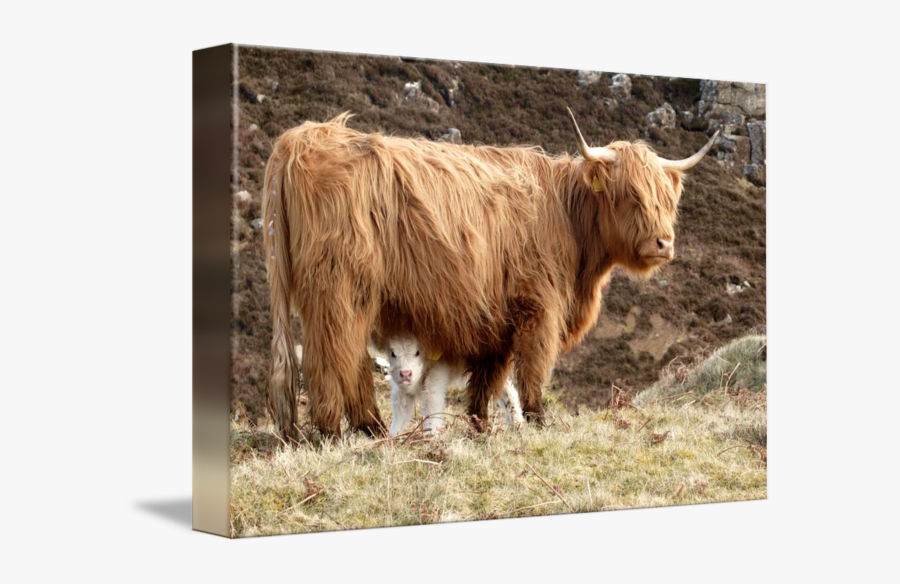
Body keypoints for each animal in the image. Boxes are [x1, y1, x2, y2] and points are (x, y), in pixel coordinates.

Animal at [263, 110, 717, 442]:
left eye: (667, 198)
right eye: (631, 195)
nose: (663, 243)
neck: (568, 217)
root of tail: (302, 137)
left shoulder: (495, 317)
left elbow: (489, 379)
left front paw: (480, 427)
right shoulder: (539, 306)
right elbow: (533, 369)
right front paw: (538, 422)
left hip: (351, 297)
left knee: (349, 358)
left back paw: (369, 428)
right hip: (338, 290)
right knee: (327, 359)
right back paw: (332, 432)